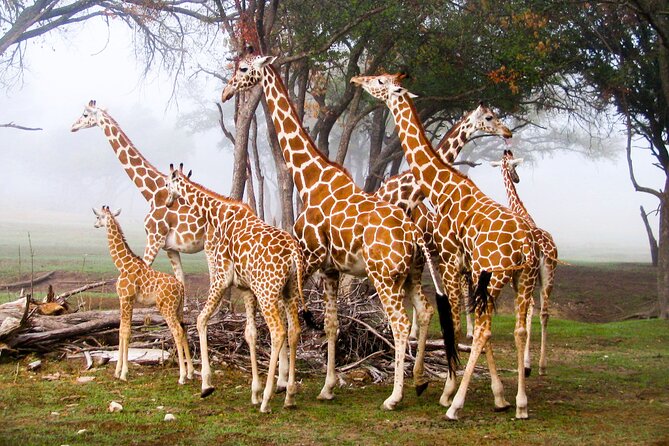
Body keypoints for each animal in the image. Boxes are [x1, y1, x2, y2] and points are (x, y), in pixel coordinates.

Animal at [71, 101, 206, 285]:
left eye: (85, 114)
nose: (73, 126)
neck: (152, 193)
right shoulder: (170, 247)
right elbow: (181, 281)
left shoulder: (154, 239)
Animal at [92, 206, 194, 384]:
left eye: (98, 216)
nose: (95, 225)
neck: (122, 264)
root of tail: (180, 287)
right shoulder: (125, 300)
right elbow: (122, 330)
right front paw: (117, 372)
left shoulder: (126, 298)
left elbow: (126, 332)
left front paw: (123, 373)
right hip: (178, 309)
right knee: (184, 329)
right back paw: (190, 373)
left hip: (166, 307)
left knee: (177, 331)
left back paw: (182, 376)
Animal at [165, 164, 304, 413]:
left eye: (166, 183)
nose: (168, 202)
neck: (216, 214)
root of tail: (293, 254)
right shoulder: (246, 289)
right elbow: (250, 334)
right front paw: (254, 392)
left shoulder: (221, 278)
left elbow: (200, 320)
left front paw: (206, 385)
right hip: (289, 291)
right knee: (293, 331)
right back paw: (289, 395)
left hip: (267, 292)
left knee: (278, 332)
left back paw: (268, 400)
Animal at [220, 48, 456, 411]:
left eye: (244, 69)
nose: (226, 92)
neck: (309, 177)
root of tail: (414, 232)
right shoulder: (330, 269)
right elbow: (331, 325)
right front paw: (327, 387)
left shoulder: (308, 257)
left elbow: (292, 320)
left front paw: (284, 385)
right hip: (411, 274)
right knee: (426, 311)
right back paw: (423, 382)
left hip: (385, 278)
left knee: (401, 324)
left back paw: (395, 396)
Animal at [491, 149, 559, 376]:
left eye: (515, 166)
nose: (517, 178)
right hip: (548, 276)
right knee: (544, 313)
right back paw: (542, 366)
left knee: (531, 310)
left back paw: (529, 365)